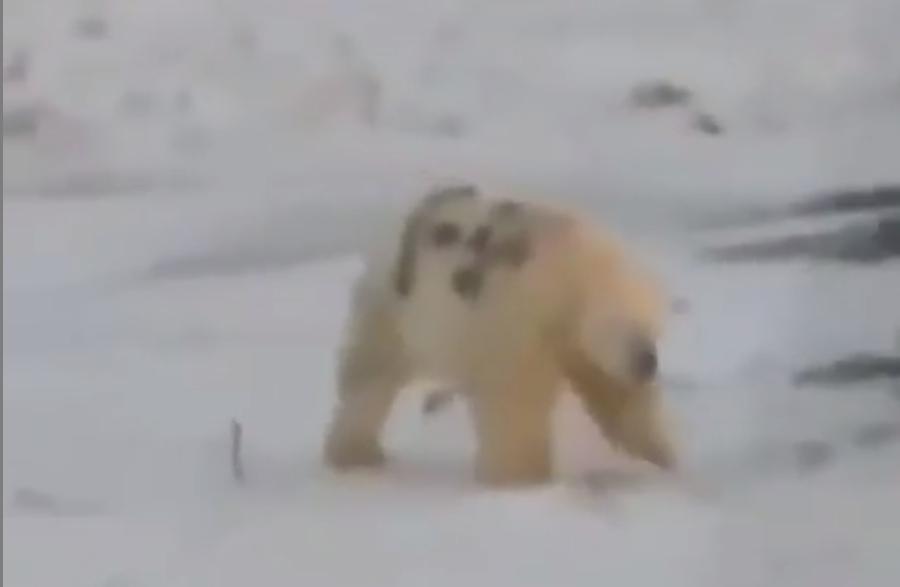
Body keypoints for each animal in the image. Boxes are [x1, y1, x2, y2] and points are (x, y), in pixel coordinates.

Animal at [321, 182, 678, 486]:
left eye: (654, 331)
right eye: (631, 331)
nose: (647, 364)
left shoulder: (576, 343)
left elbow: (612, 392)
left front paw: (662, 457)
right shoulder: (516, 320)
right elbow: (514, 402)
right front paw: (522, 477)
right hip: (393, 307)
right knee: (370, 378)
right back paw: (355, 454)